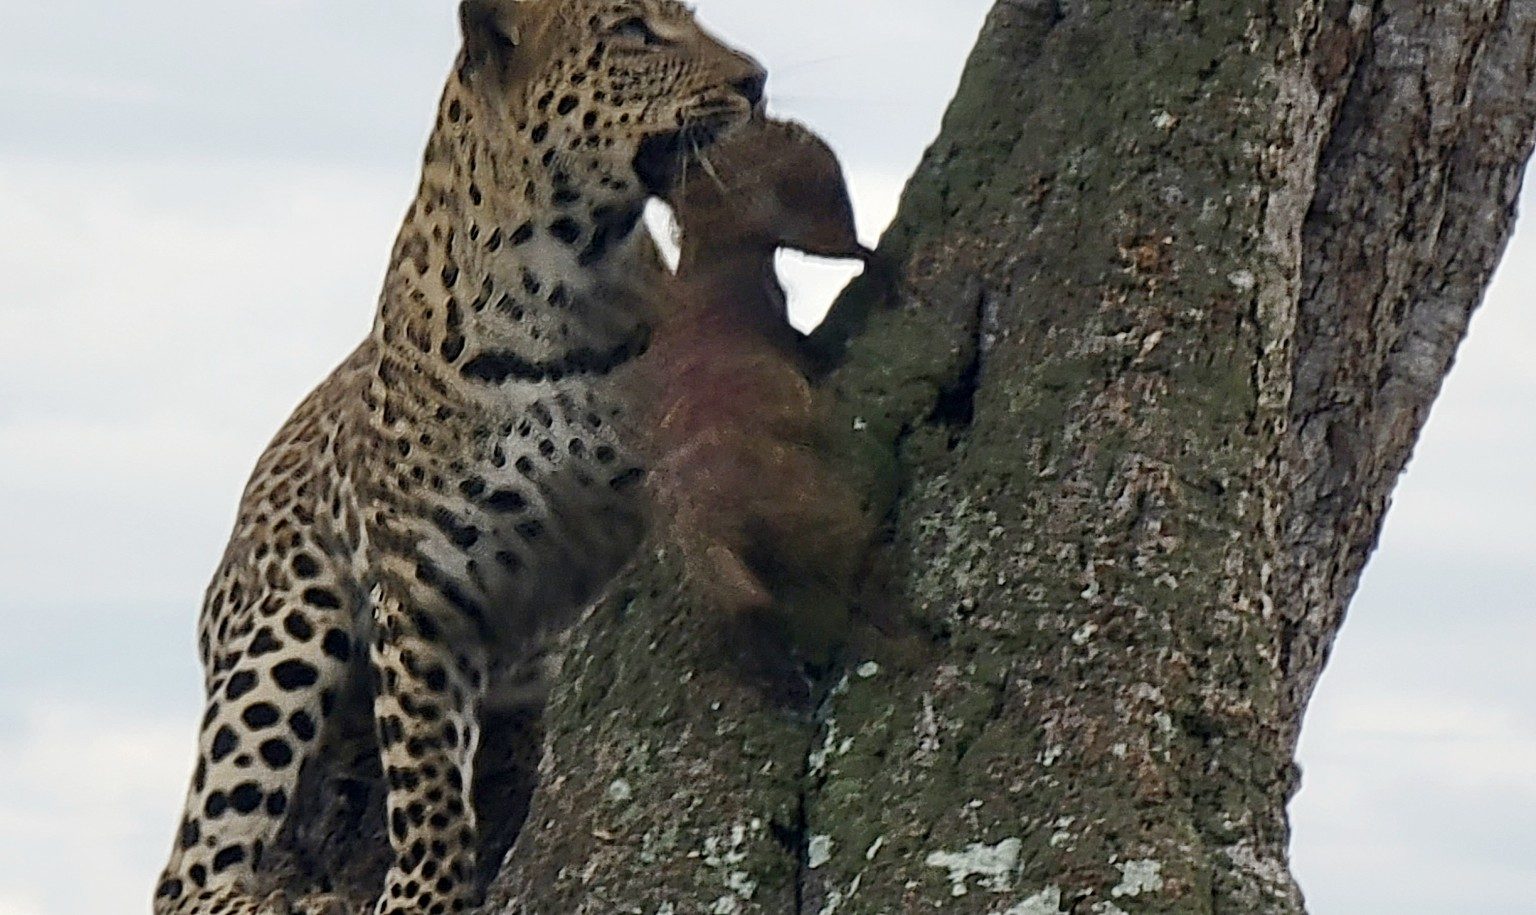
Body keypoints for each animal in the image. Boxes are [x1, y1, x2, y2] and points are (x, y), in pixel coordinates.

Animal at [152, 2, 765, 913]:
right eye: (632, 32)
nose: (755, 80)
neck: (556, 278)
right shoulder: (422, 584)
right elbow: (426, 781)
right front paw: (421, 895)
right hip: (281, 629)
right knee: (189, 868)